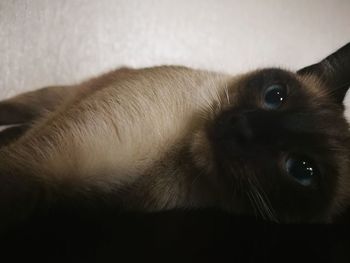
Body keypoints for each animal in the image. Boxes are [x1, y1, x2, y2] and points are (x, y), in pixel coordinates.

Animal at [0, 43, 350, 229]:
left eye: (303, 170)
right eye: (275, 96)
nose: (241, 127)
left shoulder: (54, 184)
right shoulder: (42, 165)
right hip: (45, 100)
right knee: (15, 111)